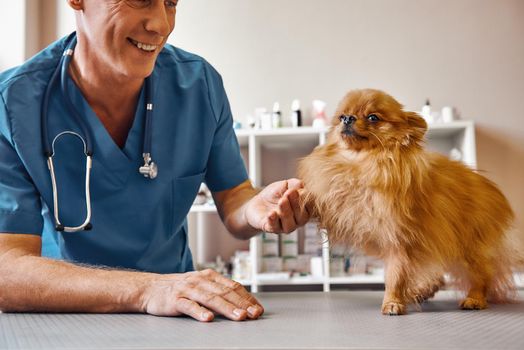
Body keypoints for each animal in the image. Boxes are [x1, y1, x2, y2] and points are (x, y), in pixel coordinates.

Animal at [298, 89, 520, 314]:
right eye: (341, 117)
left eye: (373, 117)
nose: (348, 119)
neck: (363, 162)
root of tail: (492, 189)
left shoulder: (399, 239)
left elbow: (395, 276)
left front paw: (392, 302)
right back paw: (423, 290)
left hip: (470, 246)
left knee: (481, 275)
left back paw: (474, 299)